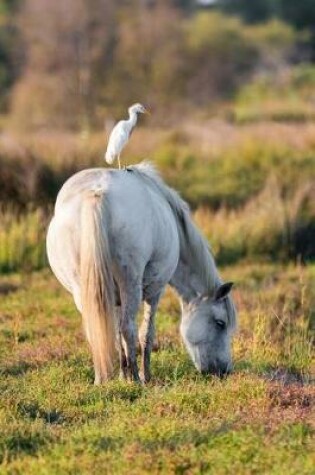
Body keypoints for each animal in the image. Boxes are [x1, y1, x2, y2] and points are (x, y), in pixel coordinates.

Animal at [45, 163, 236, 384]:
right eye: (220, 323)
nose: (224, 370)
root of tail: (97, 193)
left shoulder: (114, 299)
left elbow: (116, 336)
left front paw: (122, 375)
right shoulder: (155, 292)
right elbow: (146, 334)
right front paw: (145, 376)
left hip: (83, 290)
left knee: (100, 331)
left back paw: (102, 379)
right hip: (131, 284)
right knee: (129, 328)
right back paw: (136, 378)